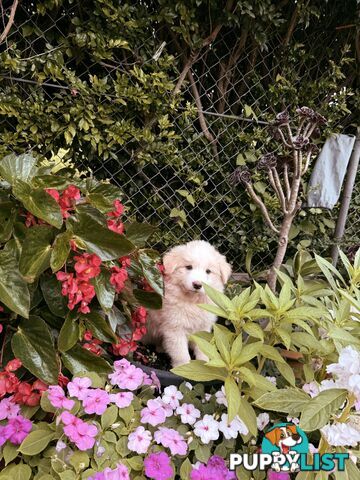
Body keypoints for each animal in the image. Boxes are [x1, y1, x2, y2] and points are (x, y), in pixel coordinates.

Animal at [142, 240, 232, 368]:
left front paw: (205, 365)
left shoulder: (203, 327)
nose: (197, 284)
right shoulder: (175, 329)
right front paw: (183, 368)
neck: (193, 302)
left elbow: (203, 348)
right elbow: (182, 355)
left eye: (208, 271)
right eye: (189, 267)